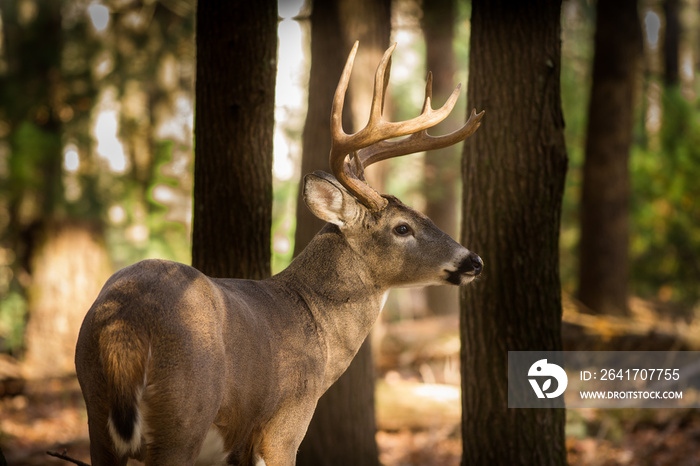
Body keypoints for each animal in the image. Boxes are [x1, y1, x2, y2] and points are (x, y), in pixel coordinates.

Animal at [75, 41, 482, 464]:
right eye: (402, 227)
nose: (474, 261)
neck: (315, 321)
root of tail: (125, 320)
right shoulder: (287, 421)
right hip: (183, 413)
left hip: (96, 411)